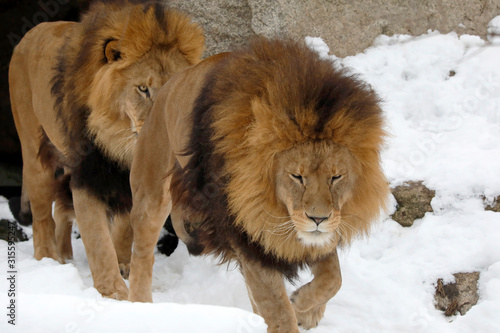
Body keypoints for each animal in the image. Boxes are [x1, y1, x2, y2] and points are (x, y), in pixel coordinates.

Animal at [8, 0, 203, 298]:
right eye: (142, 89)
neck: (121, 146)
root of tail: (32, 32)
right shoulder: (88, 176)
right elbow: (98, 240)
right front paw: (113, 292)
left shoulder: (130, 181)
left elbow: (124, 229)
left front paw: (124, 265)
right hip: (34, 151)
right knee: (42, 215)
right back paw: (49, 259)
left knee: (60, 211)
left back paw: (65, 256)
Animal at [126, 37, 390, 330]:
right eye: (297, 177)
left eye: (335, 177)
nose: (318, 218)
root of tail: (167, 85)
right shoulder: (248, 236)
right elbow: (279, 311)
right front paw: (294, 311)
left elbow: (333, 277)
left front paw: (303, 305)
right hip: (151, 193)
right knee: (141, 254)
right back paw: (141, 308)